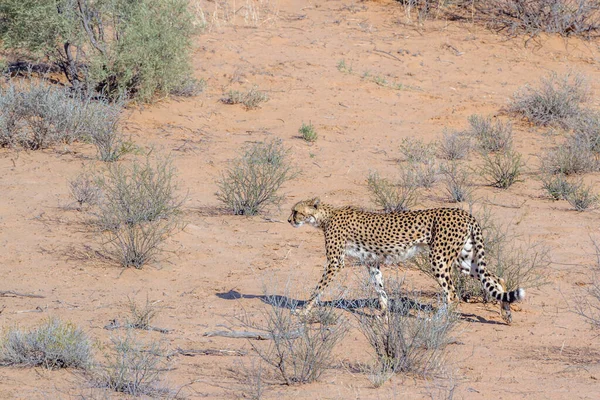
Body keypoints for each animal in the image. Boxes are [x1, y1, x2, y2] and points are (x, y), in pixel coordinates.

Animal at [288, 198, 524, 324]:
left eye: (296, 211)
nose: (289, 219)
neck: (325, 217)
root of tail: (464, 213)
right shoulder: (371, 262)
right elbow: (380, 288)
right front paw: (384, 314)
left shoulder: (335, 262)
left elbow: (318, 289)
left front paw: (303, 310)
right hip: (465, 260)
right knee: (497, 278)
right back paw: (507, 314)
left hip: (439, 258)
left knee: (452, 293)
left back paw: (437, 321)